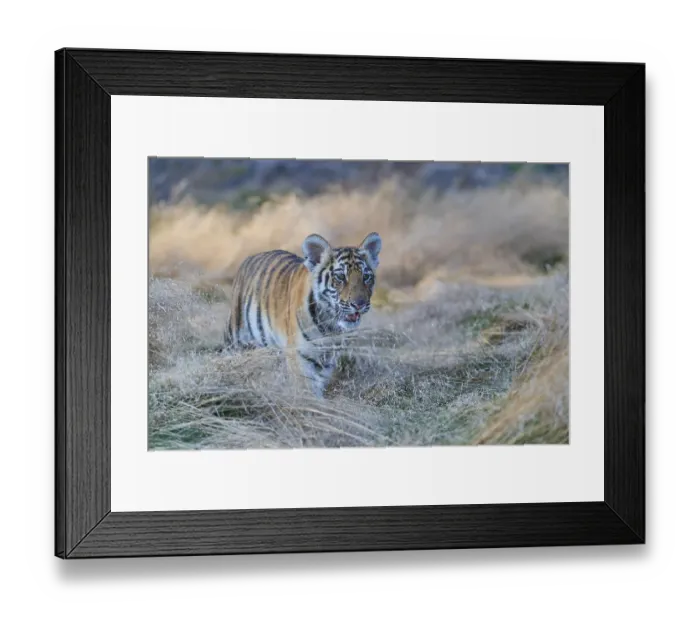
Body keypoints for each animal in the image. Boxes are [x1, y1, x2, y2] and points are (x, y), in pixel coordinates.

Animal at [224, 232, 382, 397]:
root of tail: (250, 257)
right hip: (236, 338)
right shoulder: (299, 355)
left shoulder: (327, 360)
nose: (360, 304)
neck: (330, 325)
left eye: (366, 277)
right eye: (340, 277)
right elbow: (306, 388)